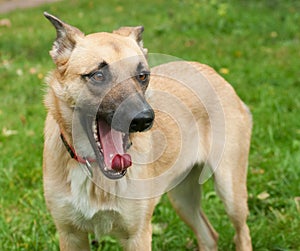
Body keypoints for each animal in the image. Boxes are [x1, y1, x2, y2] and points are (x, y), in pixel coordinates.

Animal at [42, 12, 253, 251]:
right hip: (182, 198)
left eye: (142, 76)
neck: (96, 171)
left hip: (230, 191)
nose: (143, 119)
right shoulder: (70, 235)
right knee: (209, 235)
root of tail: (212, 72)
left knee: (242, 233)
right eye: (98, 75)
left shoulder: (138, 235)